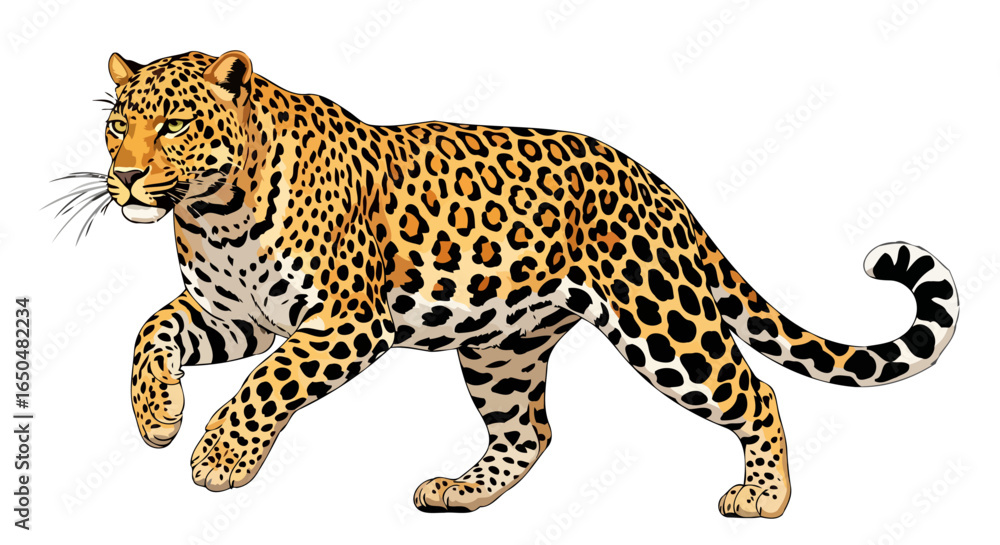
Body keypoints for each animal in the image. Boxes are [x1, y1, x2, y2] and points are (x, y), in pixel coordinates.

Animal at [98, 50, 959, 518]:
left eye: (174, 124)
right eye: (116, 126)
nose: (126, 177)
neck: (214, 208)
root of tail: (654, 181)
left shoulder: (345, 320)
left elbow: (267, 385)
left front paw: (219, 458)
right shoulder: (233, 314)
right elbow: (149, 330)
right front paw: (158, 414)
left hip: (663, 318)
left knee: (755, 390)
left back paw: (764, 498)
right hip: (501, 345)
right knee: (528, 431)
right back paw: (459, 492)